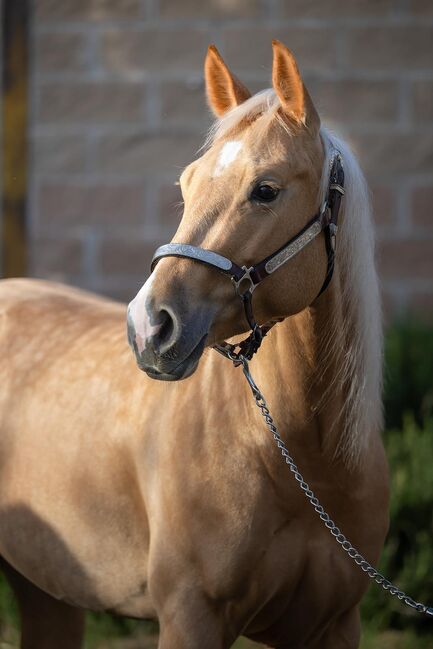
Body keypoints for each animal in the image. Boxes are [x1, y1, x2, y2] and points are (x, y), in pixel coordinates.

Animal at [0, 41, 388, 648]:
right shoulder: (190, 616)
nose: (149, 327)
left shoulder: (336, 624)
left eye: (265, 190)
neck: (304, 464)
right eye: (186, 184)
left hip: (47, 591)